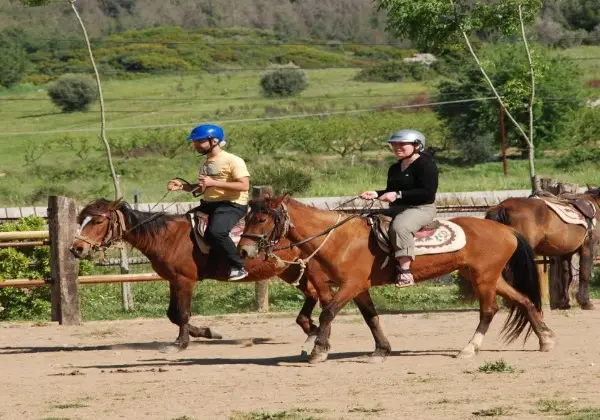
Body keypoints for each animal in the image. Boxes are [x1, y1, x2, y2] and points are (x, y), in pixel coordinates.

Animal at [69, 199, 332, 352]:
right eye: (82, 220)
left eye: (98, 221)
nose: (76, 248)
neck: (168, 237)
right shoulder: (173, 281)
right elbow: (172, 314)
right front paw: (206, 332)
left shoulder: (185, 280)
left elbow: (182, 313)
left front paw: (180, 343)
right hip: (290, 270)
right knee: (311, 294)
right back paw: (310, 329)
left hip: (305, 269)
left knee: (317, 294)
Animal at [237, 197, 556, 364]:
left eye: (262, 219)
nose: (243, 250)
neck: (339, 239)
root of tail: (507, 230)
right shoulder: (360, 289)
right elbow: (371, 318)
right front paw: (381, 350)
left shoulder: (350, 286)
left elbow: (327, 313)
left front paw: (318, 350)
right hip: (489, 277)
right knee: (525, 300)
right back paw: (545, 340)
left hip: (484, 279)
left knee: (489, 311)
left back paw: (468, 348)